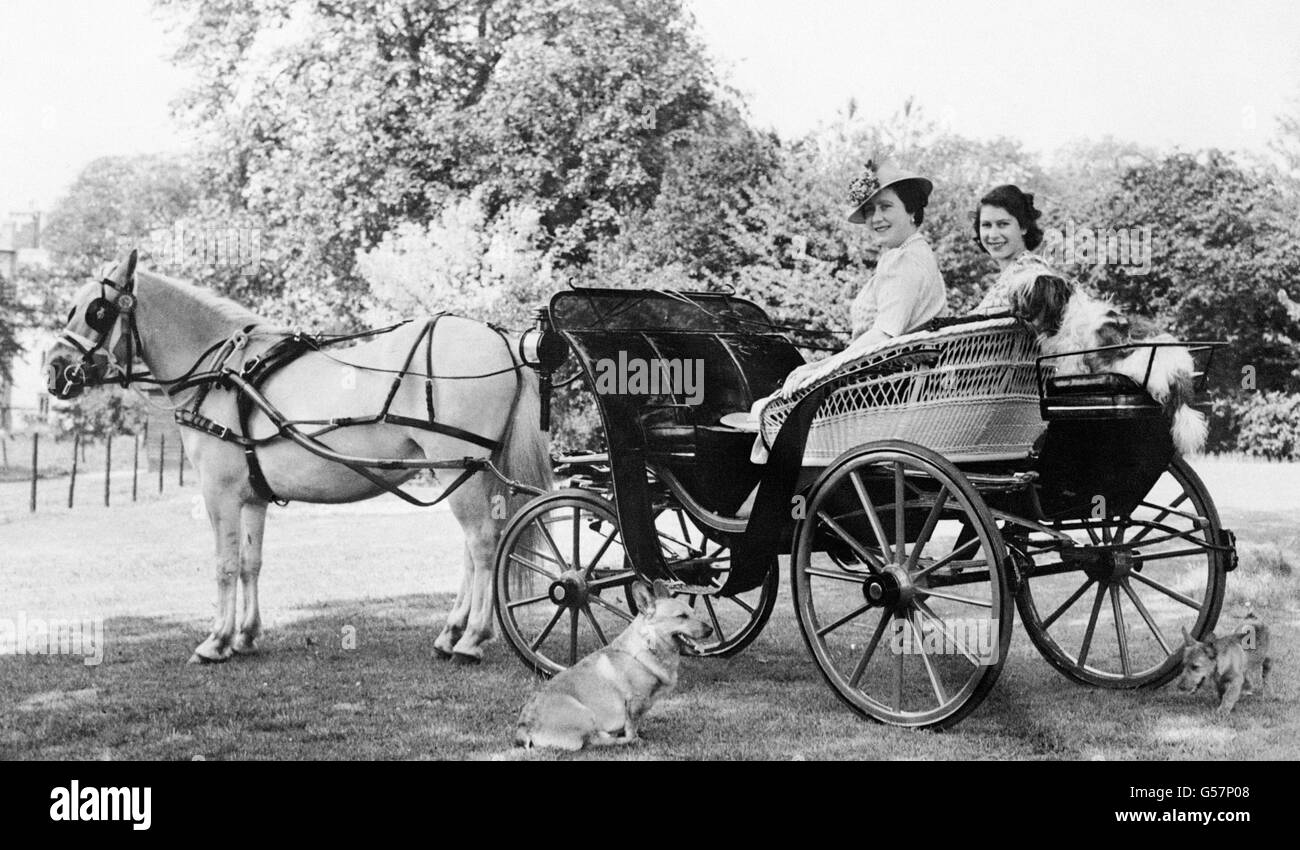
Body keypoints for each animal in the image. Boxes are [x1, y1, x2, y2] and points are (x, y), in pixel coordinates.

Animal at [44, 250, 553, 665]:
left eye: (97, 311)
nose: (54, 371)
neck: (223, 374)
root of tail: (502, 341)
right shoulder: (252, 497)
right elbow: (250, 562)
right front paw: (245, 636)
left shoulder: (219, 493)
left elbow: (224, 564)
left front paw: (215, 641)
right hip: (464, 472)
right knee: (472, 550)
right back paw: (451, 633)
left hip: (463, 469)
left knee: (484, 546)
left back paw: (472, 639)